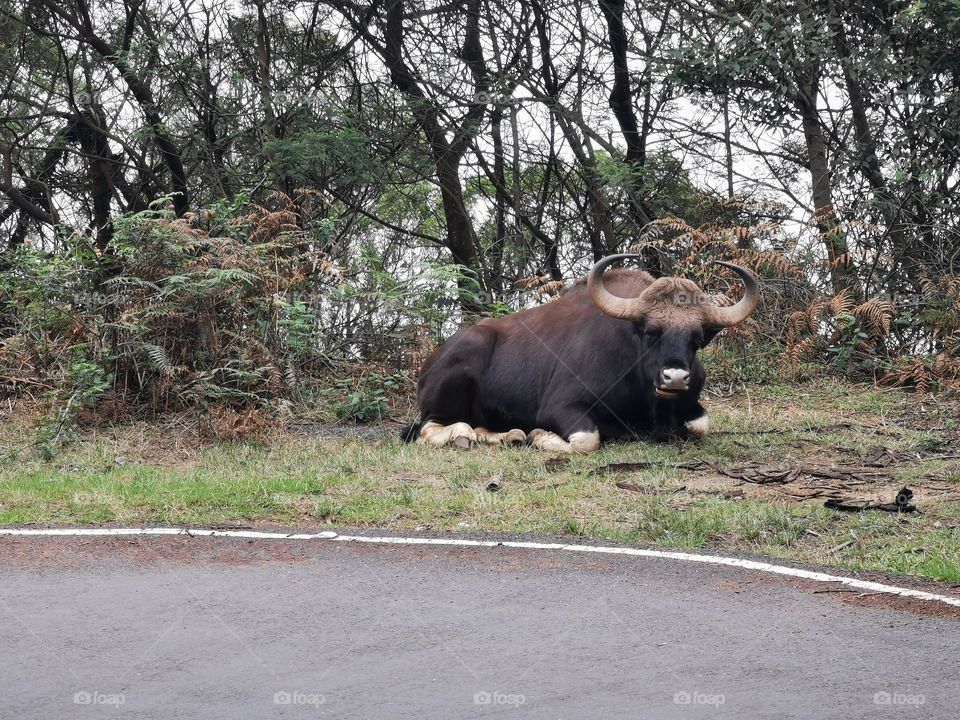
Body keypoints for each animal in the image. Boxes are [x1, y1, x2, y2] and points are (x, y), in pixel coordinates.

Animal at [402, 254, 760, 453]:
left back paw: (510, 436)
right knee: (429, 428)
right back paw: (471, 435)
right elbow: (588, 439)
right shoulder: (561, 407)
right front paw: (539, 437)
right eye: (650, 333)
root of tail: (430, 364)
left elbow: (701, 424)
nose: (674, 378)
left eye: (698, 338)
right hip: (450, 385)